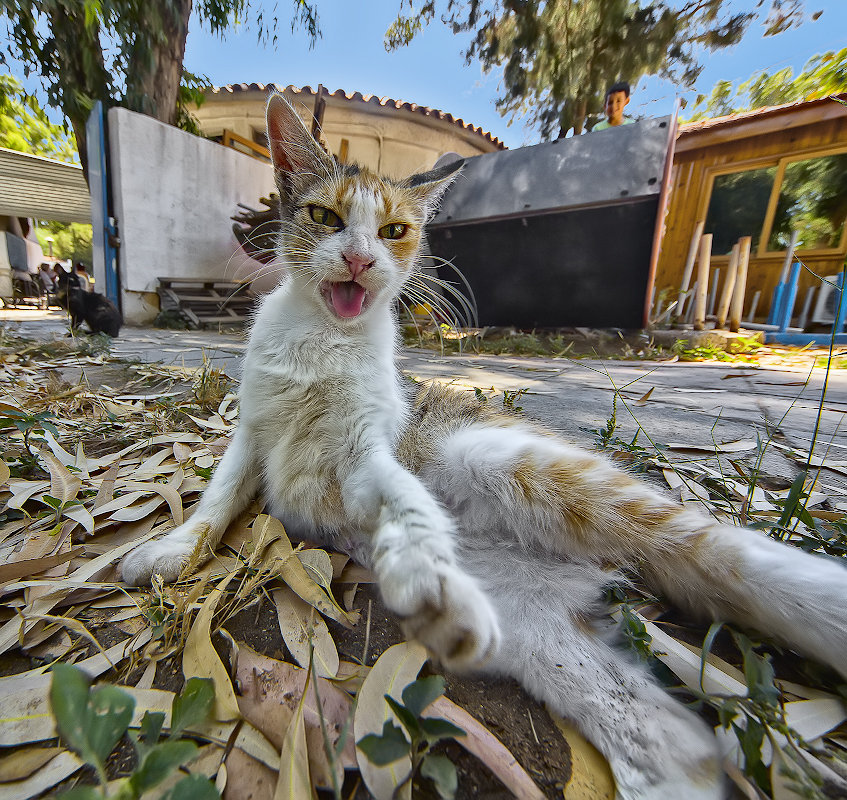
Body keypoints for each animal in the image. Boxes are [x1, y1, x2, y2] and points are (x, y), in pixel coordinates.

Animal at [121, 90, 847, 796]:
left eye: (393, 231)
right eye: (326, 218)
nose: (358, 258)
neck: (323, 340)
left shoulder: (367, 449)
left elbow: (404, 498)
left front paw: (422, 562)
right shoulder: (251, 434)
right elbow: (217, 502)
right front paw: (170, 550)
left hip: (503, 460)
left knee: (734, 559)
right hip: (539, 637)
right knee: (672, 740)